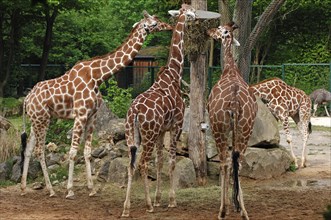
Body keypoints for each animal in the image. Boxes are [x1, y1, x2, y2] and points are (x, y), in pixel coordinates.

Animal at [19, 11, 172, 199]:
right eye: (154, 23)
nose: (169, 25)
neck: (97, 76)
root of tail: (27, 98)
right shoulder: (80, 114)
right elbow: (72, 152)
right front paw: (70, 190)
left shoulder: (92, 116)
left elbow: (87, 152)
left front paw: (91, 189)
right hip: (42, 119)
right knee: (39, 150)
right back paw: (51, 190)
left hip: (36, 120)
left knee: (28, 149)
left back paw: (24, 188)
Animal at [121, 3, 195, 218]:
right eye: (190, 12)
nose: (196, 18)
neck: (174, 74)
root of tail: (135, 112)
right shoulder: (176, 125)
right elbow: (171, 162)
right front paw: (171, 201)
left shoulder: (162, 130)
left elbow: (160, 162)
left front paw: (159, 198)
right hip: (149, 134)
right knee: (143, 163)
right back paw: (147, 205)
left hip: (132, 135)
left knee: (131, 164)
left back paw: (127, 208)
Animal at [208, 22, 260, 220]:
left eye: (218, 28)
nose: (208, 31)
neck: (230, 70)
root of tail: (235, 100)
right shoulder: (235, 130)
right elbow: (233, 162)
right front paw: (235, 205)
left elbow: (225, 164)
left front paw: (226, 207)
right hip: (246, 128)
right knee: (238, 161)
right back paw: (244, 211)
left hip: (218, 128)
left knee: (224, 162)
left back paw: (222, 210)